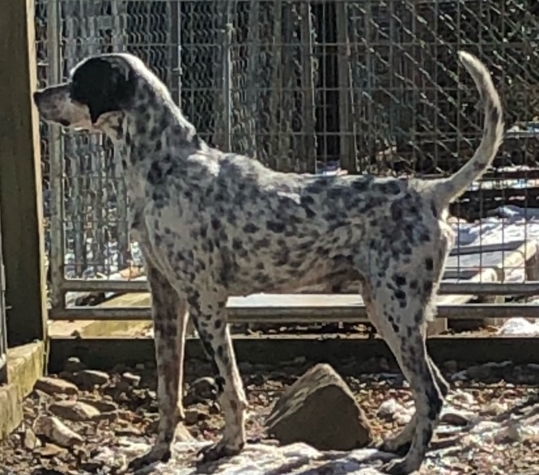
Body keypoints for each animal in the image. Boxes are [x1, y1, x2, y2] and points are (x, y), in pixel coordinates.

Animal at [35, 50, 504, 474]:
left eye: (79, 80)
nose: (38, 93)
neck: (166, 167)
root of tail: (429, 193)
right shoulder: (166, 300)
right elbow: (169, 391)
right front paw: (158, 452)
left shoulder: (206, 302)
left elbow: (229, 388)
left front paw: (230, 446)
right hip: (385, 311)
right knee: (432, 386)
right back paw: (401, 443)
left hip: (396, 313)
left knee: (431, 392)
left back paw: (410, 462)